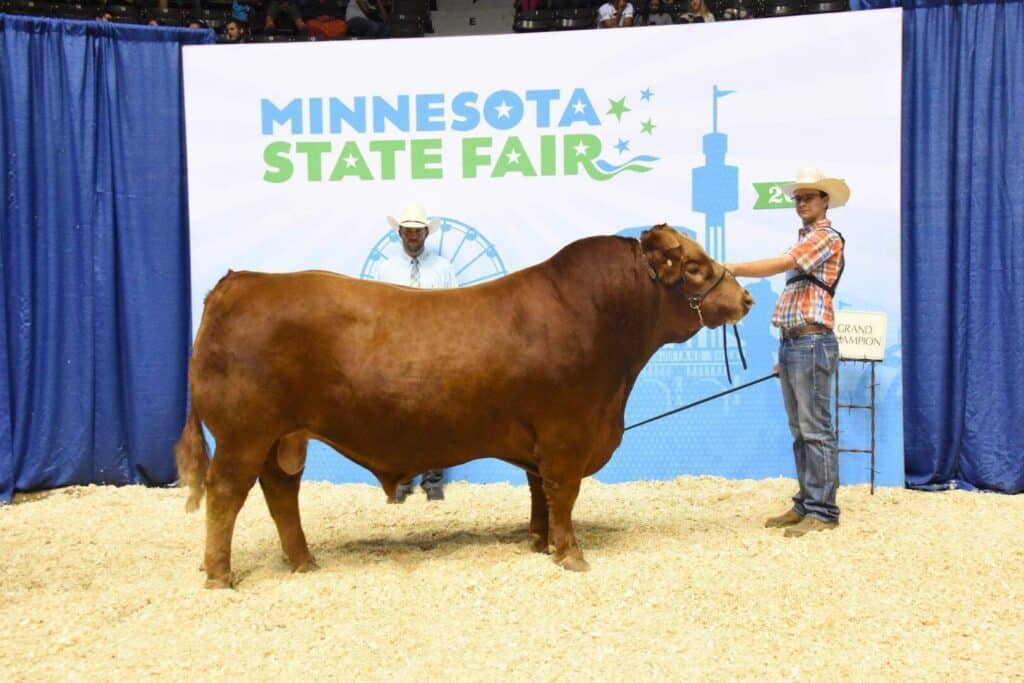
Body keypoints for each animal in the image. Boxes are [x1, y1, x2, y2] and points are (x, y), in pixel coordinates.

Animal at [175, 224, 754, 588]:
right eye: (695, 267)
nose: (746, 299)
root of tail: (240, 281)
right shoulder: (567, 431)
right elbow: (563, 492)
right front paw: (571, 555)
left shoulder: (539, 440)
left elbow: (540, 493)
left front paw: (539, 543)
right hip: (243, 433)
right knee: (226, 495)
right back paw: (220, 576)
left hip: (282, 437)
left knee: (281, 492)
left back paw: (304, 563)